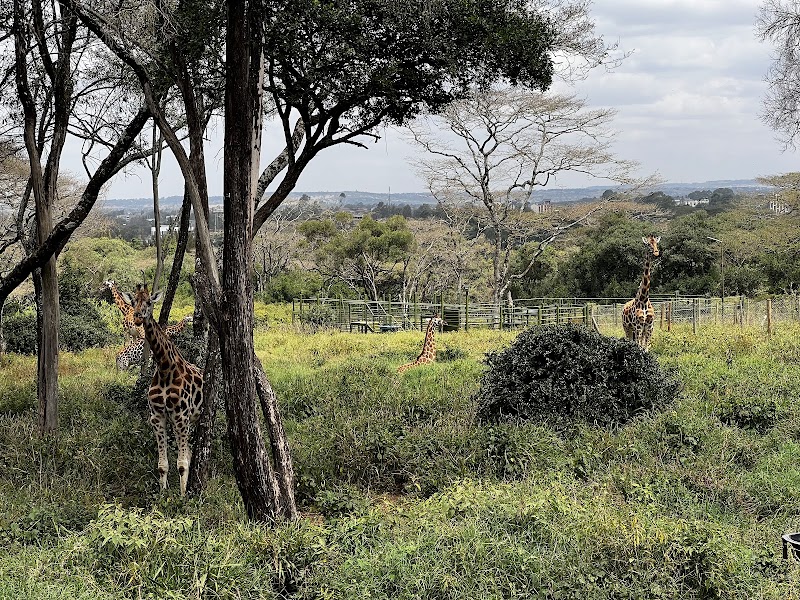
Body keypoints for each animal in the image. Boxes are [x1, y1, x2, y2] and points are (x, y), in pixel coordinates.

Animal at [119, 285, 203, 495]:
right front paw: (163, 495)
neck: (165, 367)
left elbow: (182, 463)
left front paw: (182, 496)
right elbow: (162, 464)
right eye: (134, 302)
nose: (138, 317)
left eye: (149, 302)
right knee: (189, 451)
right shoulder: (157, 416)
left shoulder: (180, 415)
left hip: (193, 418)